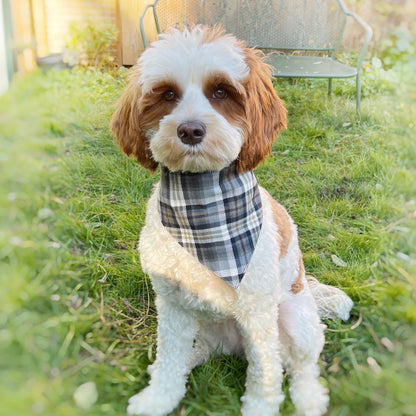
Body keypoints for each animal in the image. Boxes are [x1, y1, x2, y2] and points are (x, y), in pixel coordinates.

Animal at [111, 26, 354, 416]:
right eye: (167, 94)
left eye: (221, 92)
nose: (190, 130)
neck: (202, 208)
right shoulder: (173, 306)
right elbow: (169, 359)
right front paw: (158, 398)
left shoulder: (257, 312)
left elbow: (266, 373)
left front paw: (260, 407)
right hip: (203, 323)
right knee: (195, 352)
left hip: (296, 321)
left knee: (302, 365)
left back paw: (309, 399)